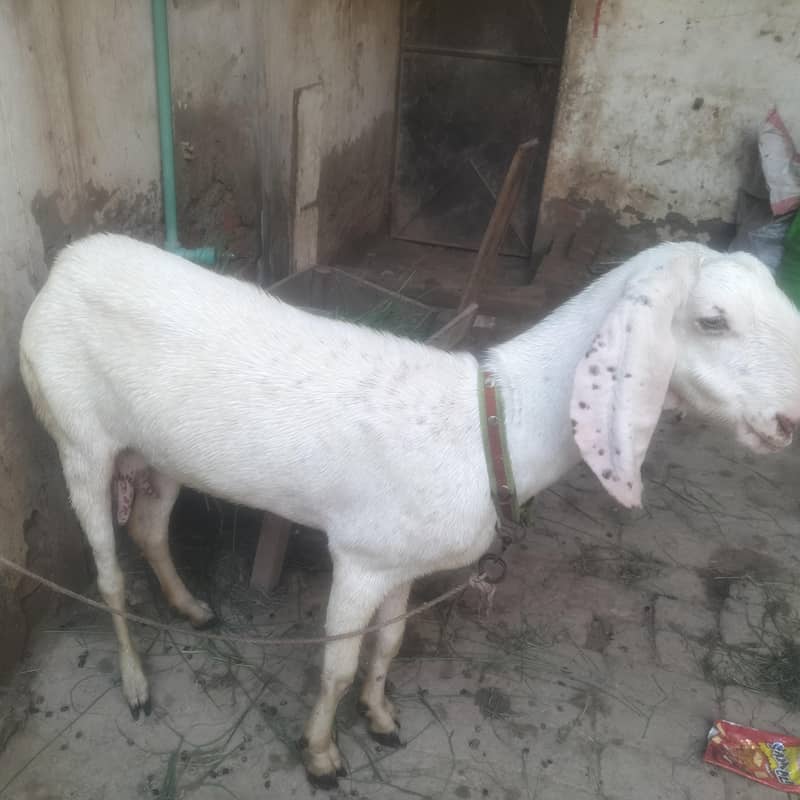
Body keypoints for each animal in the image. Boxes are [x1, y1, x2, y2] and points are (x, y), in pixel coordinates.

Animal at [19, 233, 800, 787]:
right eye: (711, 320)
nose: (789, 421)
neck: (491, 427)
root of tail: (64, 264)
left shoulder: (403, 562)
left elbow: (388, 646)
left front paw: (383, 719)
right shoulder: (360, 557)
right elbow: (336, 663)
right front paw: (322, 757)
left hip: (159, 454)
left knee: (150, 528)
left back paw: (192, 609)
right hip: (77, 434)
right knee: (107, 572)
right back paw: (136, 685)